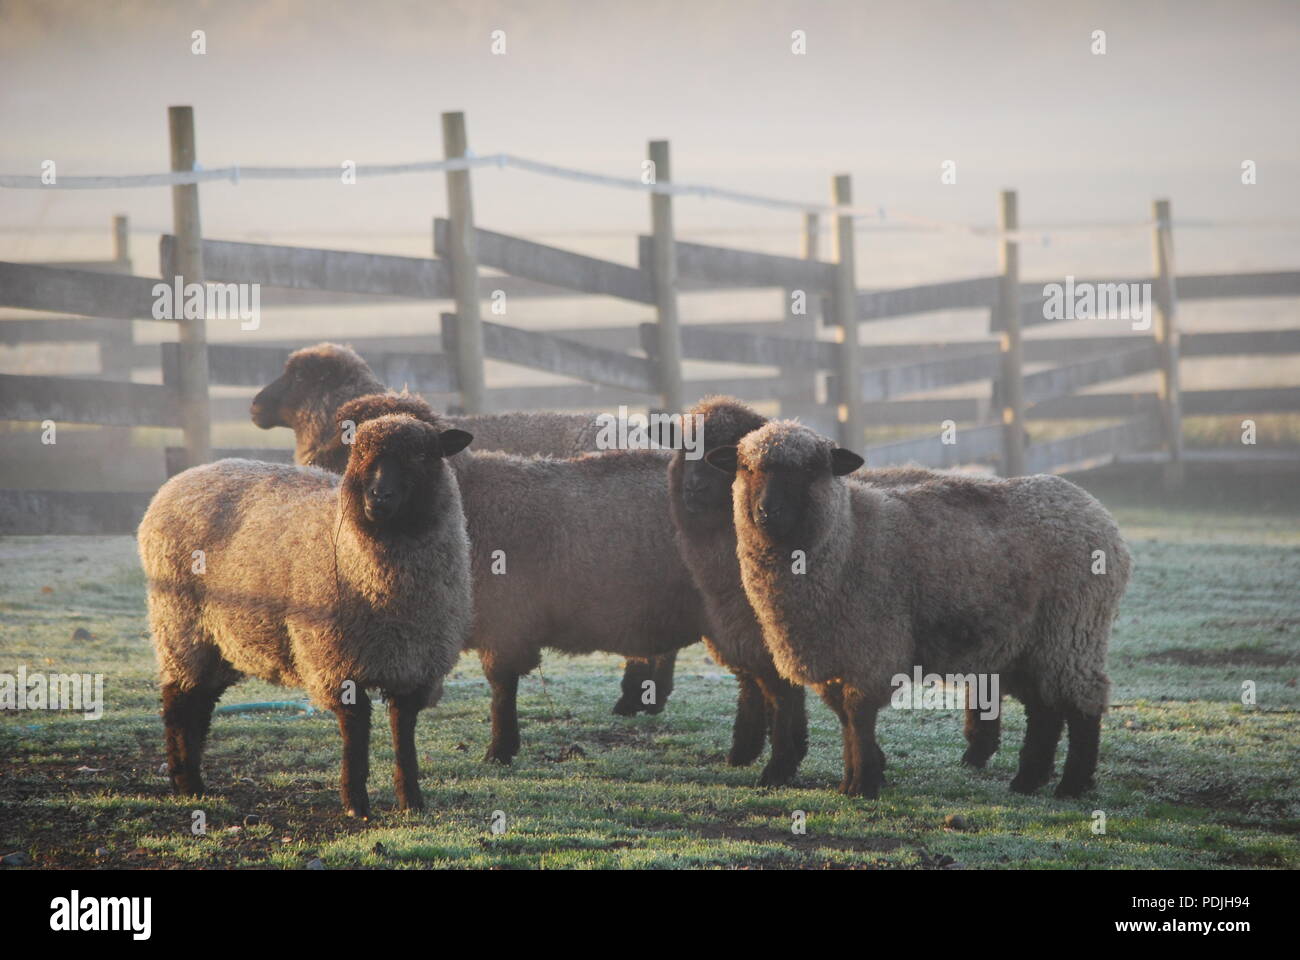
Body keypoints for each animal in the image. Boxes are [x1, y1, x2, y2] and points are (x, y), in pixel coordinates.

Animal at [139, 411, 475, 816]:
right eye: (358, 453)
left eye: (424, 455)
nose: (378, 497)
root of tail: (181, 479)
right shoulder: (335, 661)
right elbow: (355, 730)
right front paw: (356, 802)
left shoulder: (415, 667)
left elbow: (403, 732)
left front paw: (411, 800)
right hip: (180, 623)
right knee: (178, 702)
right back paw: (185, 782)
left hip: (216, 640)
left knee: (201, 703)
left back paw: (193, 784)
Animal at [325, 392, 712, 759]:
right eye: (358, 450)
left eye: (422, 455)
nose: (379, 498)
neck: (468, 499)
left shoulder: (506, 619)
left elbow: (501, 685)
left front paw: (501, 749)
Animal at [712, 418, 1128, 801]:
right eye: (746, 467)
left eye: (812, 469)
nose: (768, 512)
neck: (848, 536)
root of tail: (1096, 510)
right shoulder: (832, 648)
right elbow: (844, 716)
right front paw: (855, 779)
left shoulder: (871, 646)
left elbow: (858, 715)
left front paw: (863, 784)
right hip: (1030, 641)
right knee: (1044, 709)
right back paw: (1028, 780)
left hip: (1073, 628)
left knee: (1082, 701)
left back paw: (1072, 784)